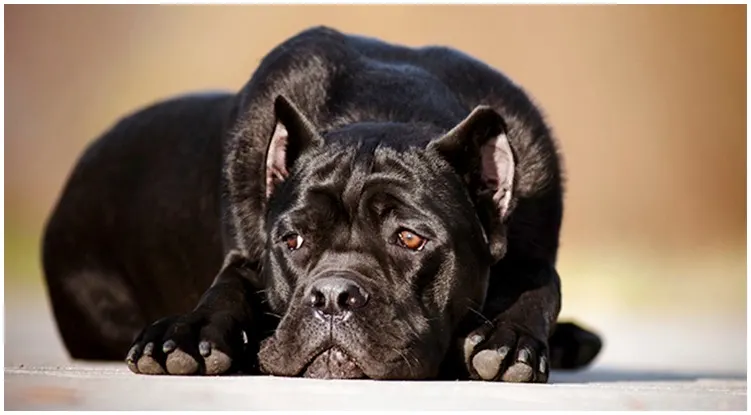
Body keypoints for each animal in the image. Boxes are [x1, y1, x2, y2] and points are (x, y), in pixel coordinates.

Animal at [44, 26, 604, 384]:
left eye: (410, 238)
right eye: (292, 240)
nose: (332, 296)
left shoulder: (533, 249)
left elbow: (542, 284)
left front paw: (510, 338)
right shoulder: (247, 255)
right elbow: (229, 283)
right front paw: (185, 334)